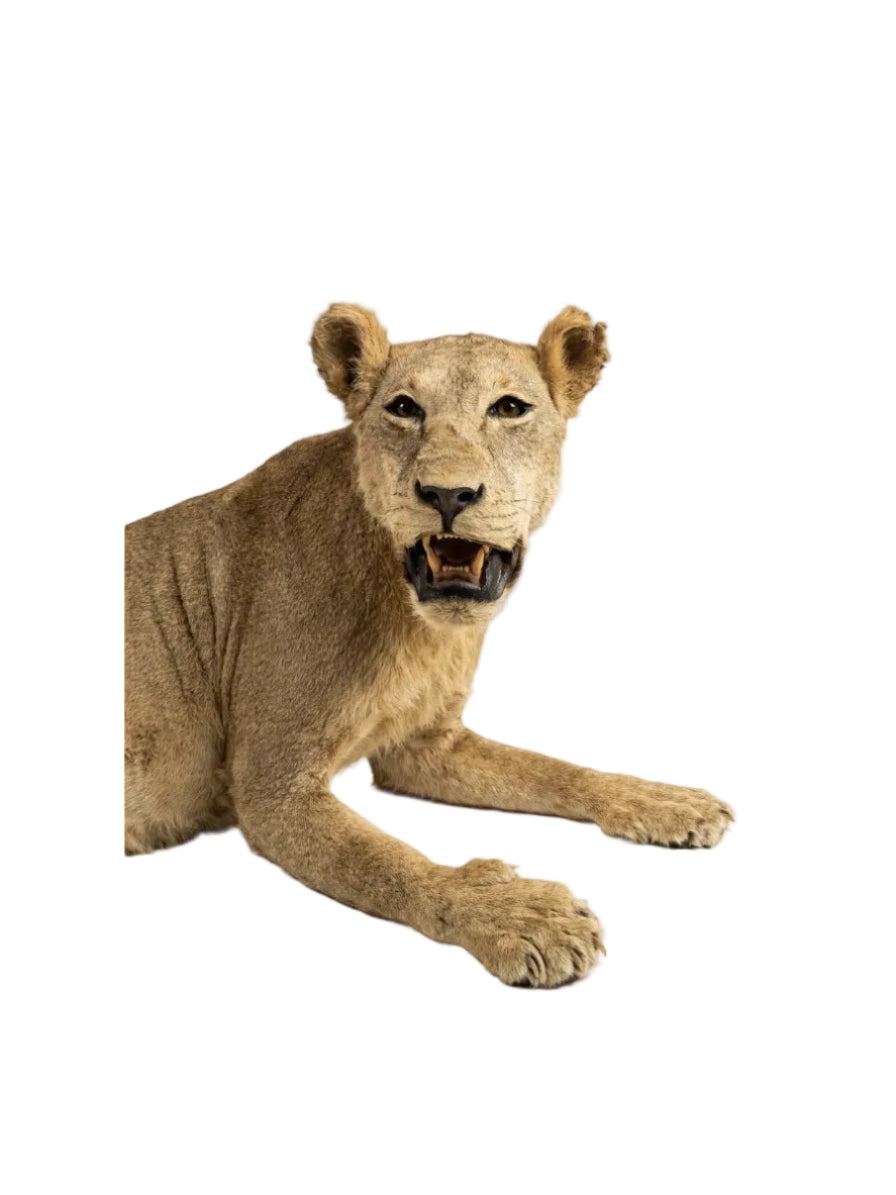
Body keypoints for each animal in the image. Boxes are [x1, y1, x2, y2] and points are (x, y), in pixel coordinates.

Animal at [125, 303, 734, 987]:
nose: (447, 494)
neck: (415, 625)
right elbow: (395, 865)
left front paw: (659, 799)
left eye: (509, 408)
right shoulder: (272, 786)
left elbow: (556, 770)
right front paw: (513, 913)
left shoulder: (427, 746)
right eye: (404, 407)